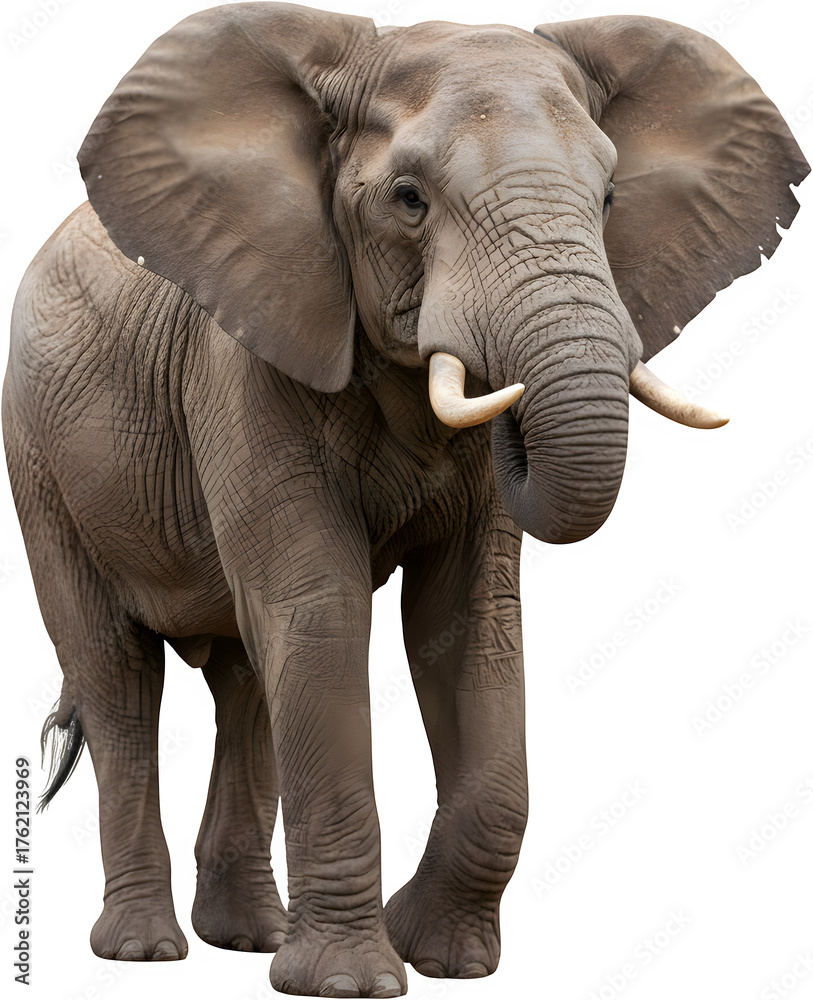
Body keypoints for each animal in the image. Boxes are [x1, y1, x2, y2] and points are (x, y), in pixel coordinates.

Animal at [3, 2, 807, 997]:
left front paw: (441, 956)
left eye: (611, 199)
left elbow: (465, 621)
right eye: (408, 199)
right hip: (39, 461)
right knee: (116, 673)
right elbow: (321, 609)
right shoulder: (243, 362)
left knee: (246, 684)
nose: (513, 412)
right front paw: (351, 981)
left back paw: (250, 940)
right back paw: (144, 951)